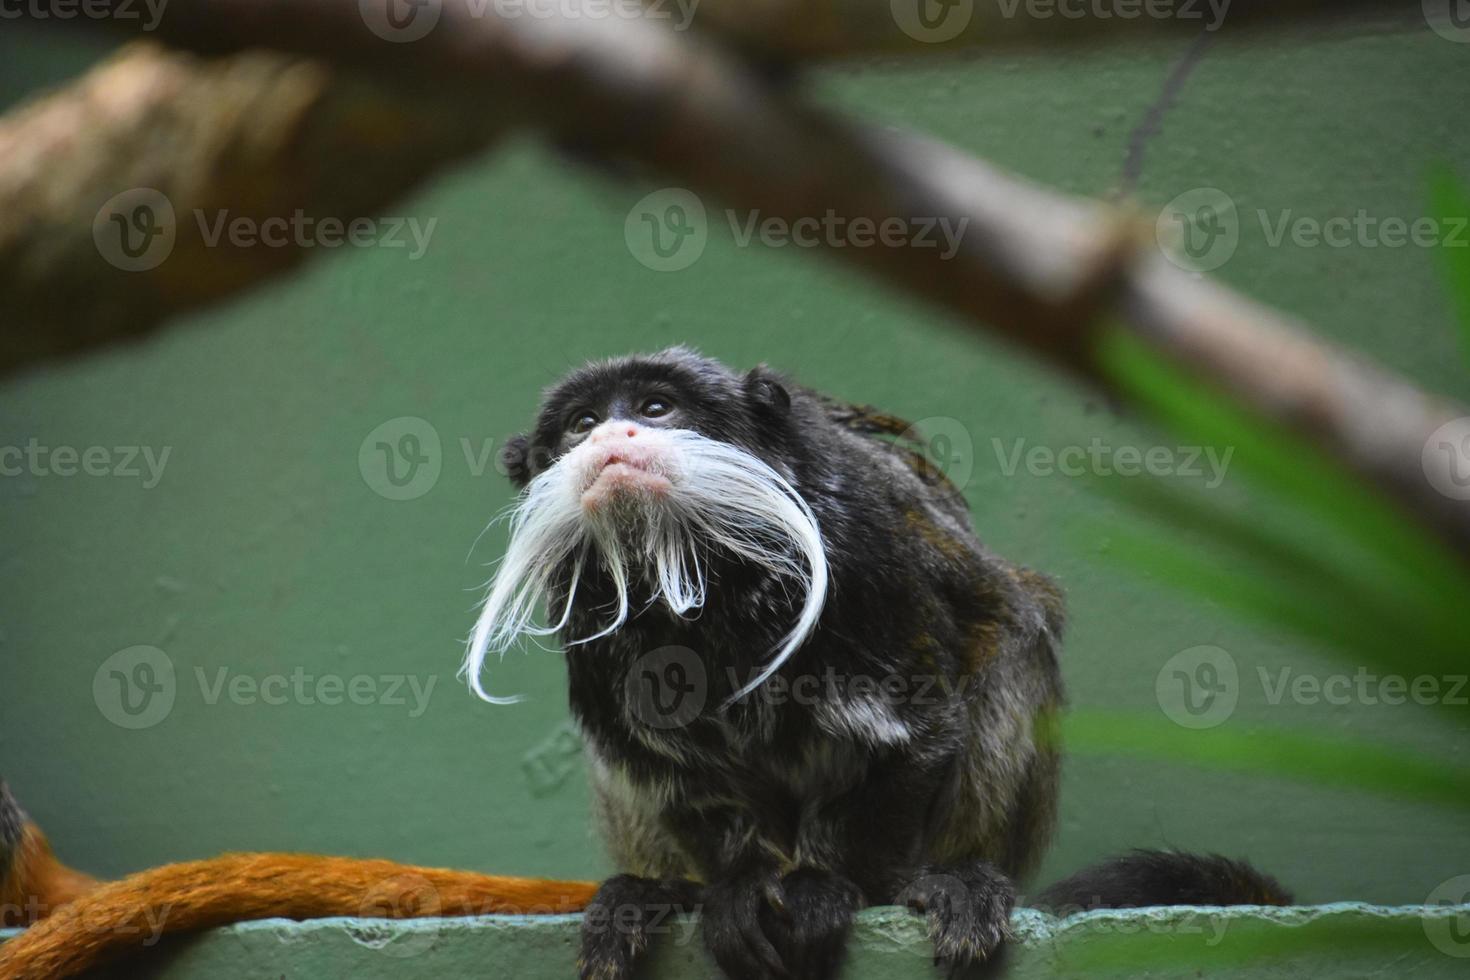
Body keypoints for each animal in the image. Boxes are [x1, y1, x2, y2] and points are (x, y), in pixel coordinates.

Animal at [470, 348, 1287, 980]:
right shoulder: (584, 609)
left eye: (657, 405)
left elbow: (913, 730)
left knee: (1013, 631)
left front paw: (830, 890)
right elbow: (669, 774)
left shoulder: (856, 542)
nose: (613, 434)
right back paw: (659, 892)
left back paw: (954, 881)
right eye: (580, 425)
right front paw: (735, 889)